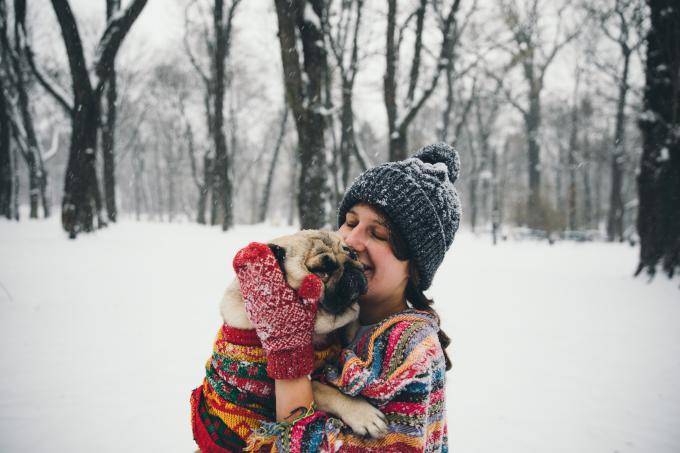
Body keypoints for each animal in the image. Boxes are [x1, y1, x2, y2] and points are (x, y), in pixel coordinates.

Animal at [218, 230, 388, 438]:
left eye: (353, 255)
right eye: (322, 271)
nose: (351, 267)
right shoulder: (269, 389)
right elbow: (323, 389)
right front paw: (362, 413)